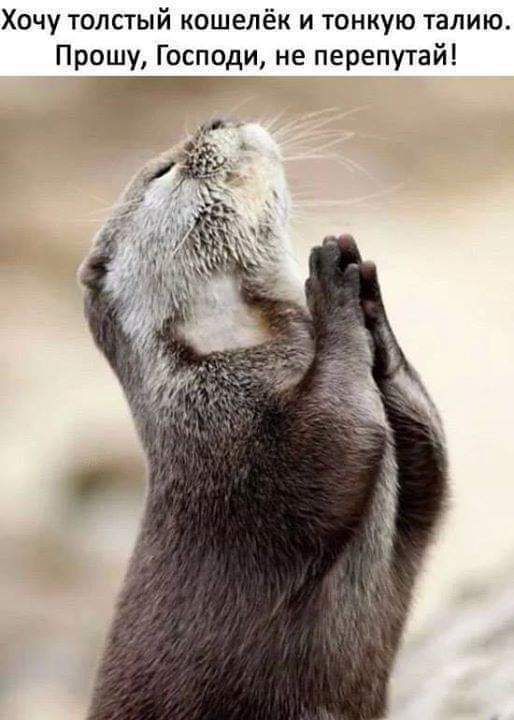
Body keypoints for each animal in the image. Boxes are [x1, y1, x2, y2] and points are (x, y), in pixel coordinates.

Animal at [78, 117, 448, 720]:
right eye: (164, 171)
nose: (215, 120)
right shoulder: (228, 443)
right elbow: (332, 443)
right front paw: (330, 288)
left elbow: (430, 468)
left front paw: (370, 303)